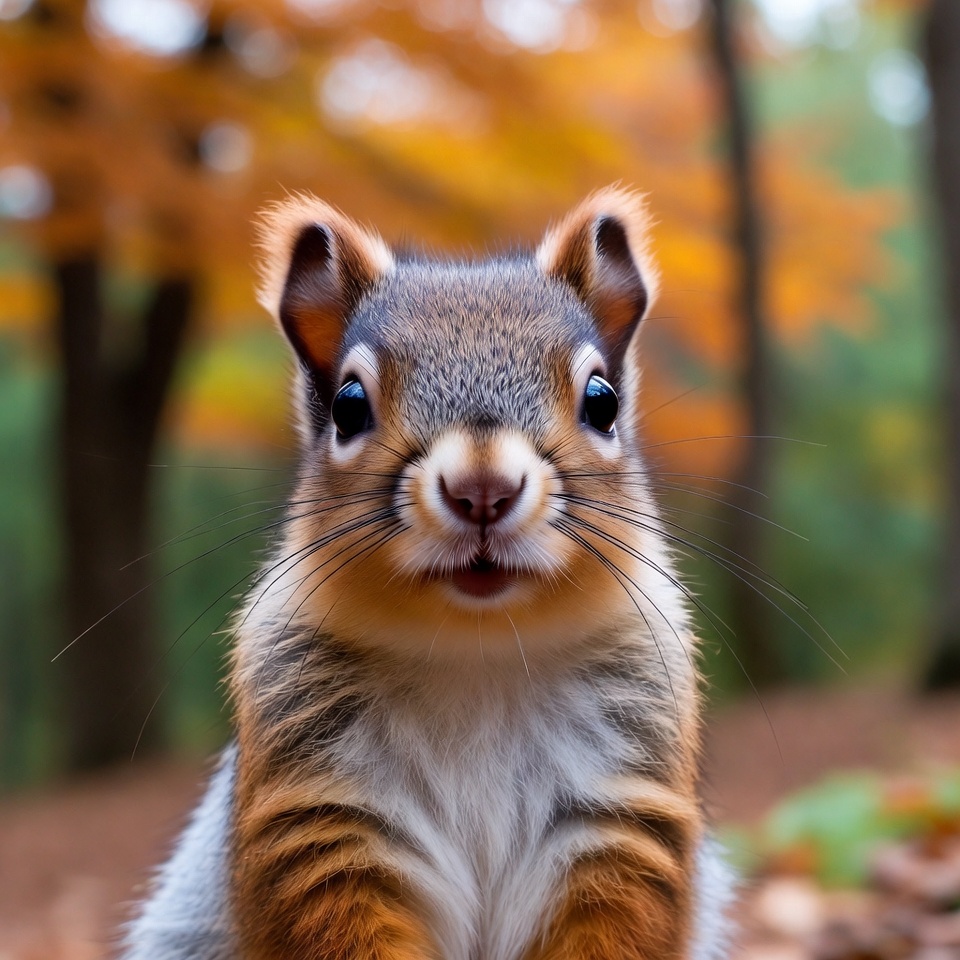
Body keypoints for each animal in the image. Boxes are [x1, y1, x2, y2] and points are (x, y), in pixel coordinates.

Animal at [119, 187, 735, 960]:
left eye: (602, 401)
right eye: (349, 405)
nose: (482, 489)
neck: (480, 651)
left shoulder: (618, 823)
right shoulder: (323, 829)